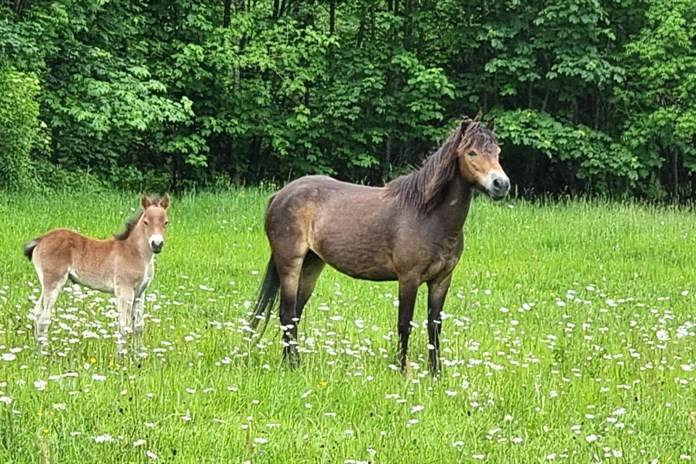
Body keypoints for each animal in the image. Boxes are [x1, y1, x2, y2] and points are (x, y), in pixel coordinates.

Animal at [23, 194, 171, 350]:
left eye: (166, 222)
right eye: (146, 222)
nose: (157, 245)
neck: (135, 252)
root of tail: (40, 239)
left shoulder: (140, 293)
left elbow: (138, 326)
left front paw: (138, 354)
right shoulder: (124, 290)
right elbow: (124, 326)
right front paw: (122, 356)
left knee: (37, 312)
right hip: (53, 282)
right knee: (43, 316)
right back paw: (43, 353)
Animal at [251, 115, 512, 374]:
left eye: (498, 151)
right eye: (471, 152)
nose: (501, 184)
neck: (429, 216)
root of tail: (280, 195)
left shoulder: (442, 280)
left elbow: (434, 326)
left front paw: (436, 373)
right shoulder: (409, 278)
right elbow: (404, 324)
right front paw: (402, 370)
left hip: (312, 265)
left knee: (294, 314)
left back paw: (294, 362)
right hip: (290, 265)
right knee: (286, 314)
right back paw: (292, 365)